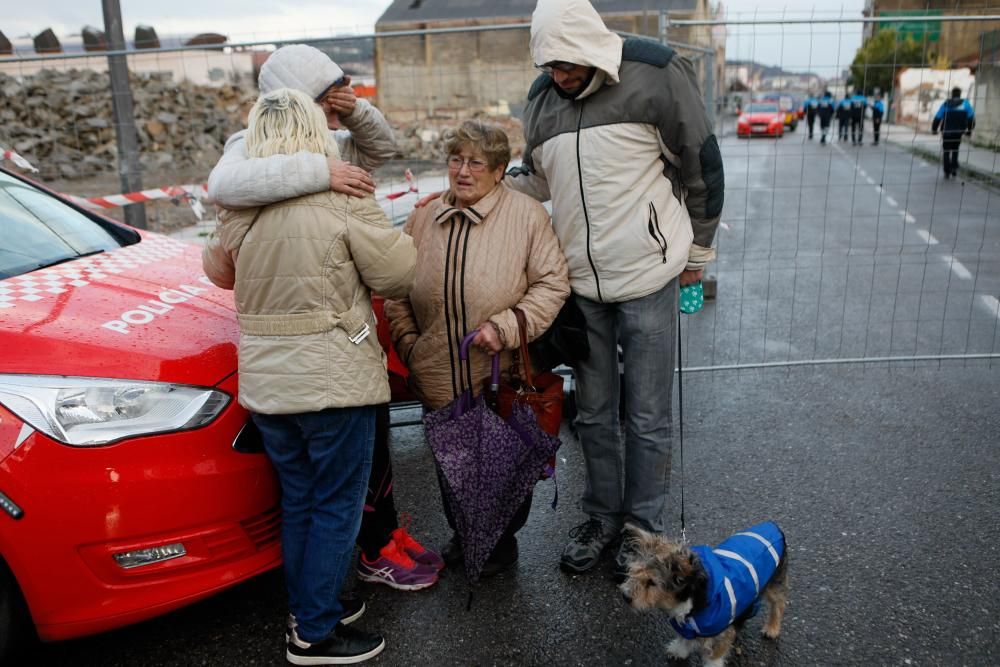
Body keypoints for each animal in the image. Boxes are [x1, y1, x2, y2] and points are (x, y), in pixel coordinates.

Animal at [616, 520, 788, 667]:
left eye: (652, 582)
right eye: (633, 571)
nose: (626, 596)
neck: (693, 596)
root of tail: (773, 526)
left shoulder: (721, 632)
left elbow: (716, 654)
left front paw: (711, 664)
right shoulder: (685, 625)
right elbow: (684, 639)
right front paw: (679, 651)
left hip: (775, 582)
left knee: (779, 604)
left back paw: (772, 628)